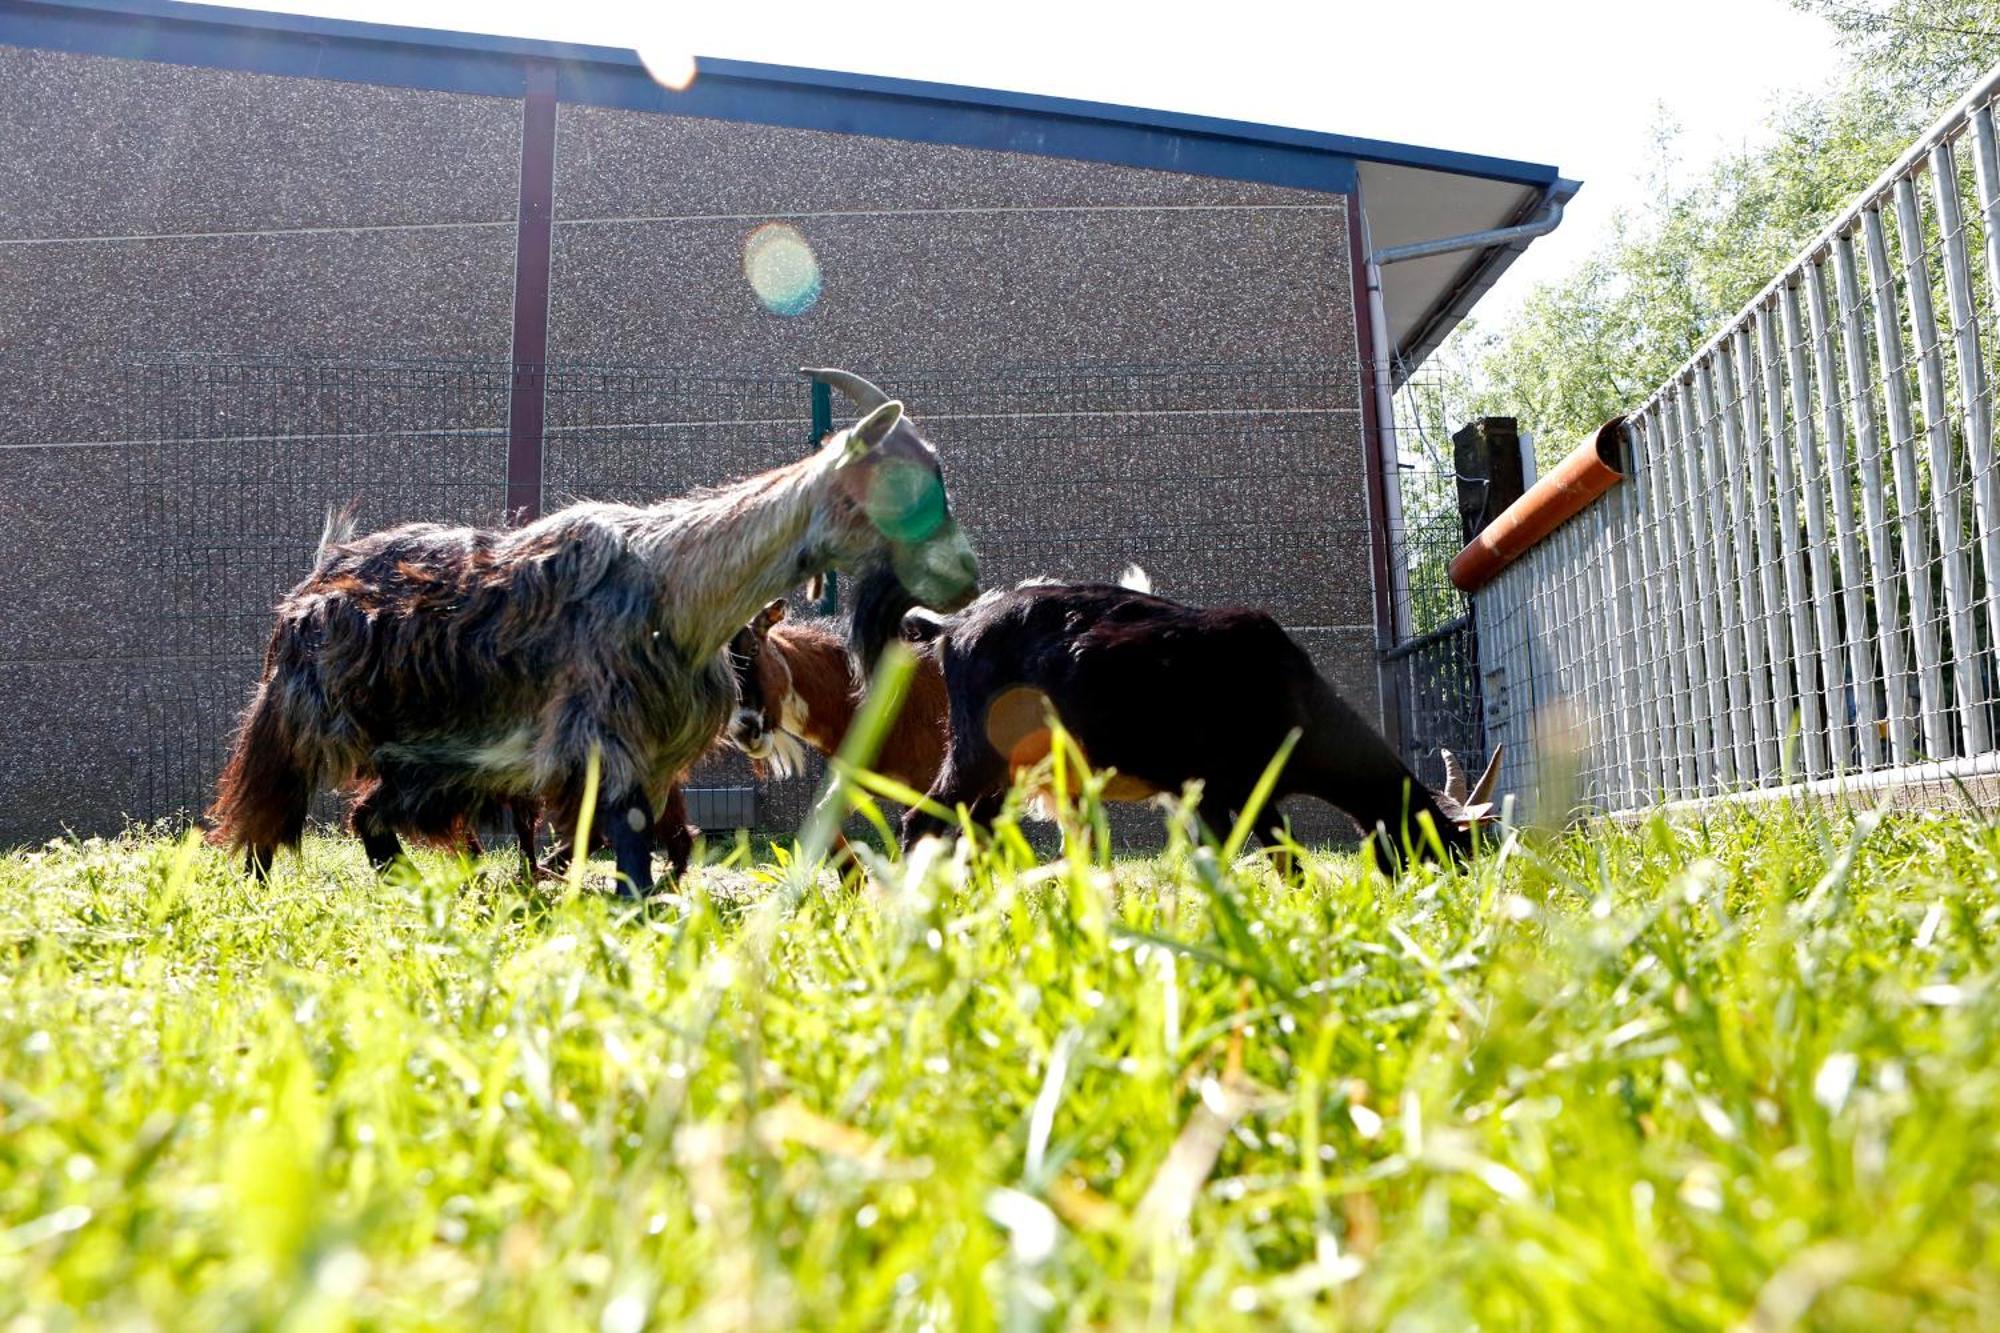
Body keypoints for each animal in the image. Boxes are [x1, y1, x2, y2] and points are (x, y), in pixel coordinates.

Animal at [209, 384, 976, 896]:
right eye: (905, 478)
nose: (965, 576)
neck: (679, 580)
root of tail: (321, 569)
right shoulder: (604, 733)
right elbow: (631, 844)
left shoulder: (652, 756)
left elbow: (650, 842)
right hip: (299, 722)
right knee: (267, 813)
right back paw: (261, 887)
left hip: (423, 757)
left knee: (369, 817)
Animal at [900, 580, 1496, 860]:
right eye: (1445, 843)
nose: (1455, 886)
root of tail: (954, 626)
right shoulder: (1225, 786)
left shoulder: (1240, 792)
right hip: (977, 750)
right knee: (921, 819)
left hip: (1010, 767)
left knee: (975, 825)